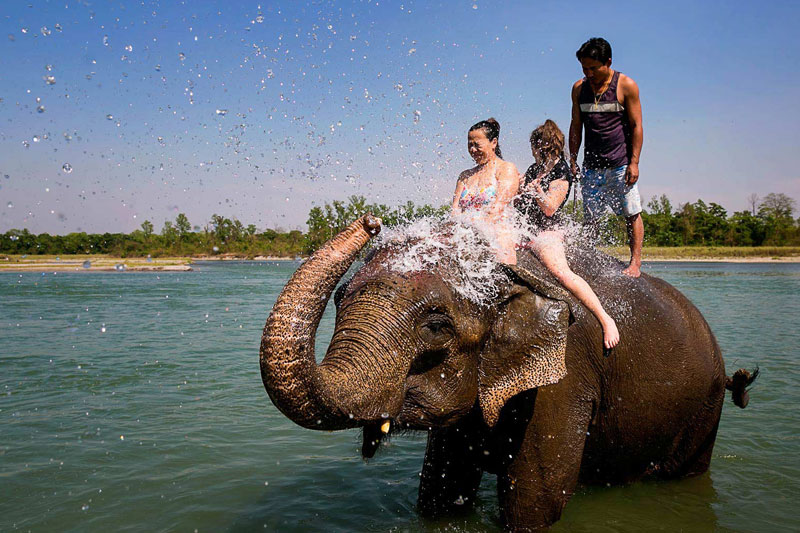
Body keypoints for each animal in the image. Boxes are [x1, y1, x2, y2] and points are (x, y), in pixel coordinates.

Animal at [259, 215, 756, 531]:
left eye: (435, 325)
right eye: (340, 299)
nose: (371, 221)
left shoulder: (564, 378)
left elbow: (535, 504)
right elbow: (439, 493)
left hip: (704, 411)